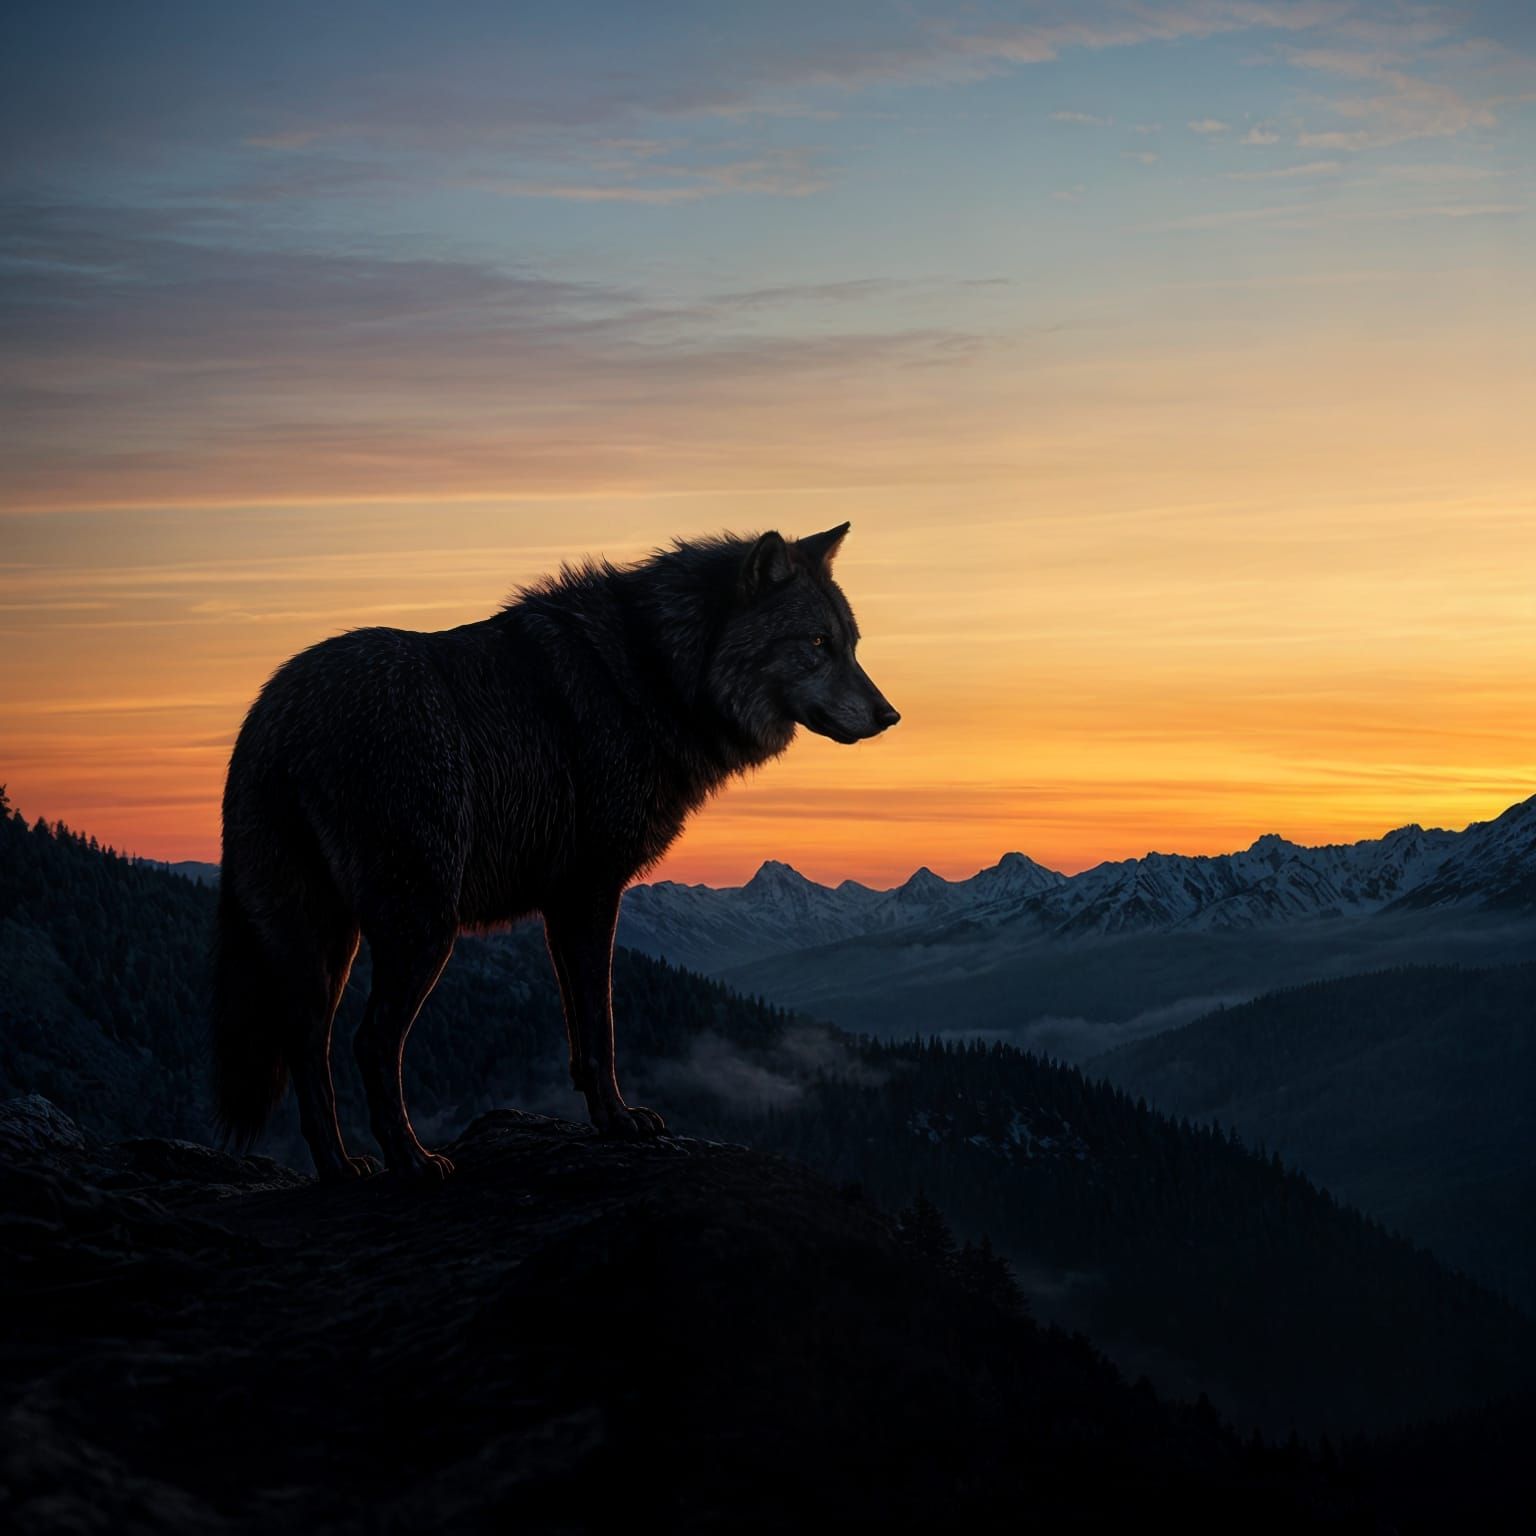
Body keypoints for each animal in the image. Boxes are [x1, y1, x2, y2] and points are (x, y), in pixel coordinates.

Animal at [212, 523, 898, 1179]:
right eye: (817, 644)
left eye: (853, 645)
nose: (889, 715)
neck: (656, 674)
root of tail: (277, 718)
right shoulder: (593, 889)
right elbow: (602, 1024)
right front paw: (621, 1122)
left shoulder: (561, 904)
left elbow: (579, 1032)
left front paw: (603, 1119)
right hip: (422, 928)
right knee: (371, 1043)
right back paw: (411, 1161)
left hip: (325, 939)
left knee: (306, 1041)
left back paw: (340, 1168)